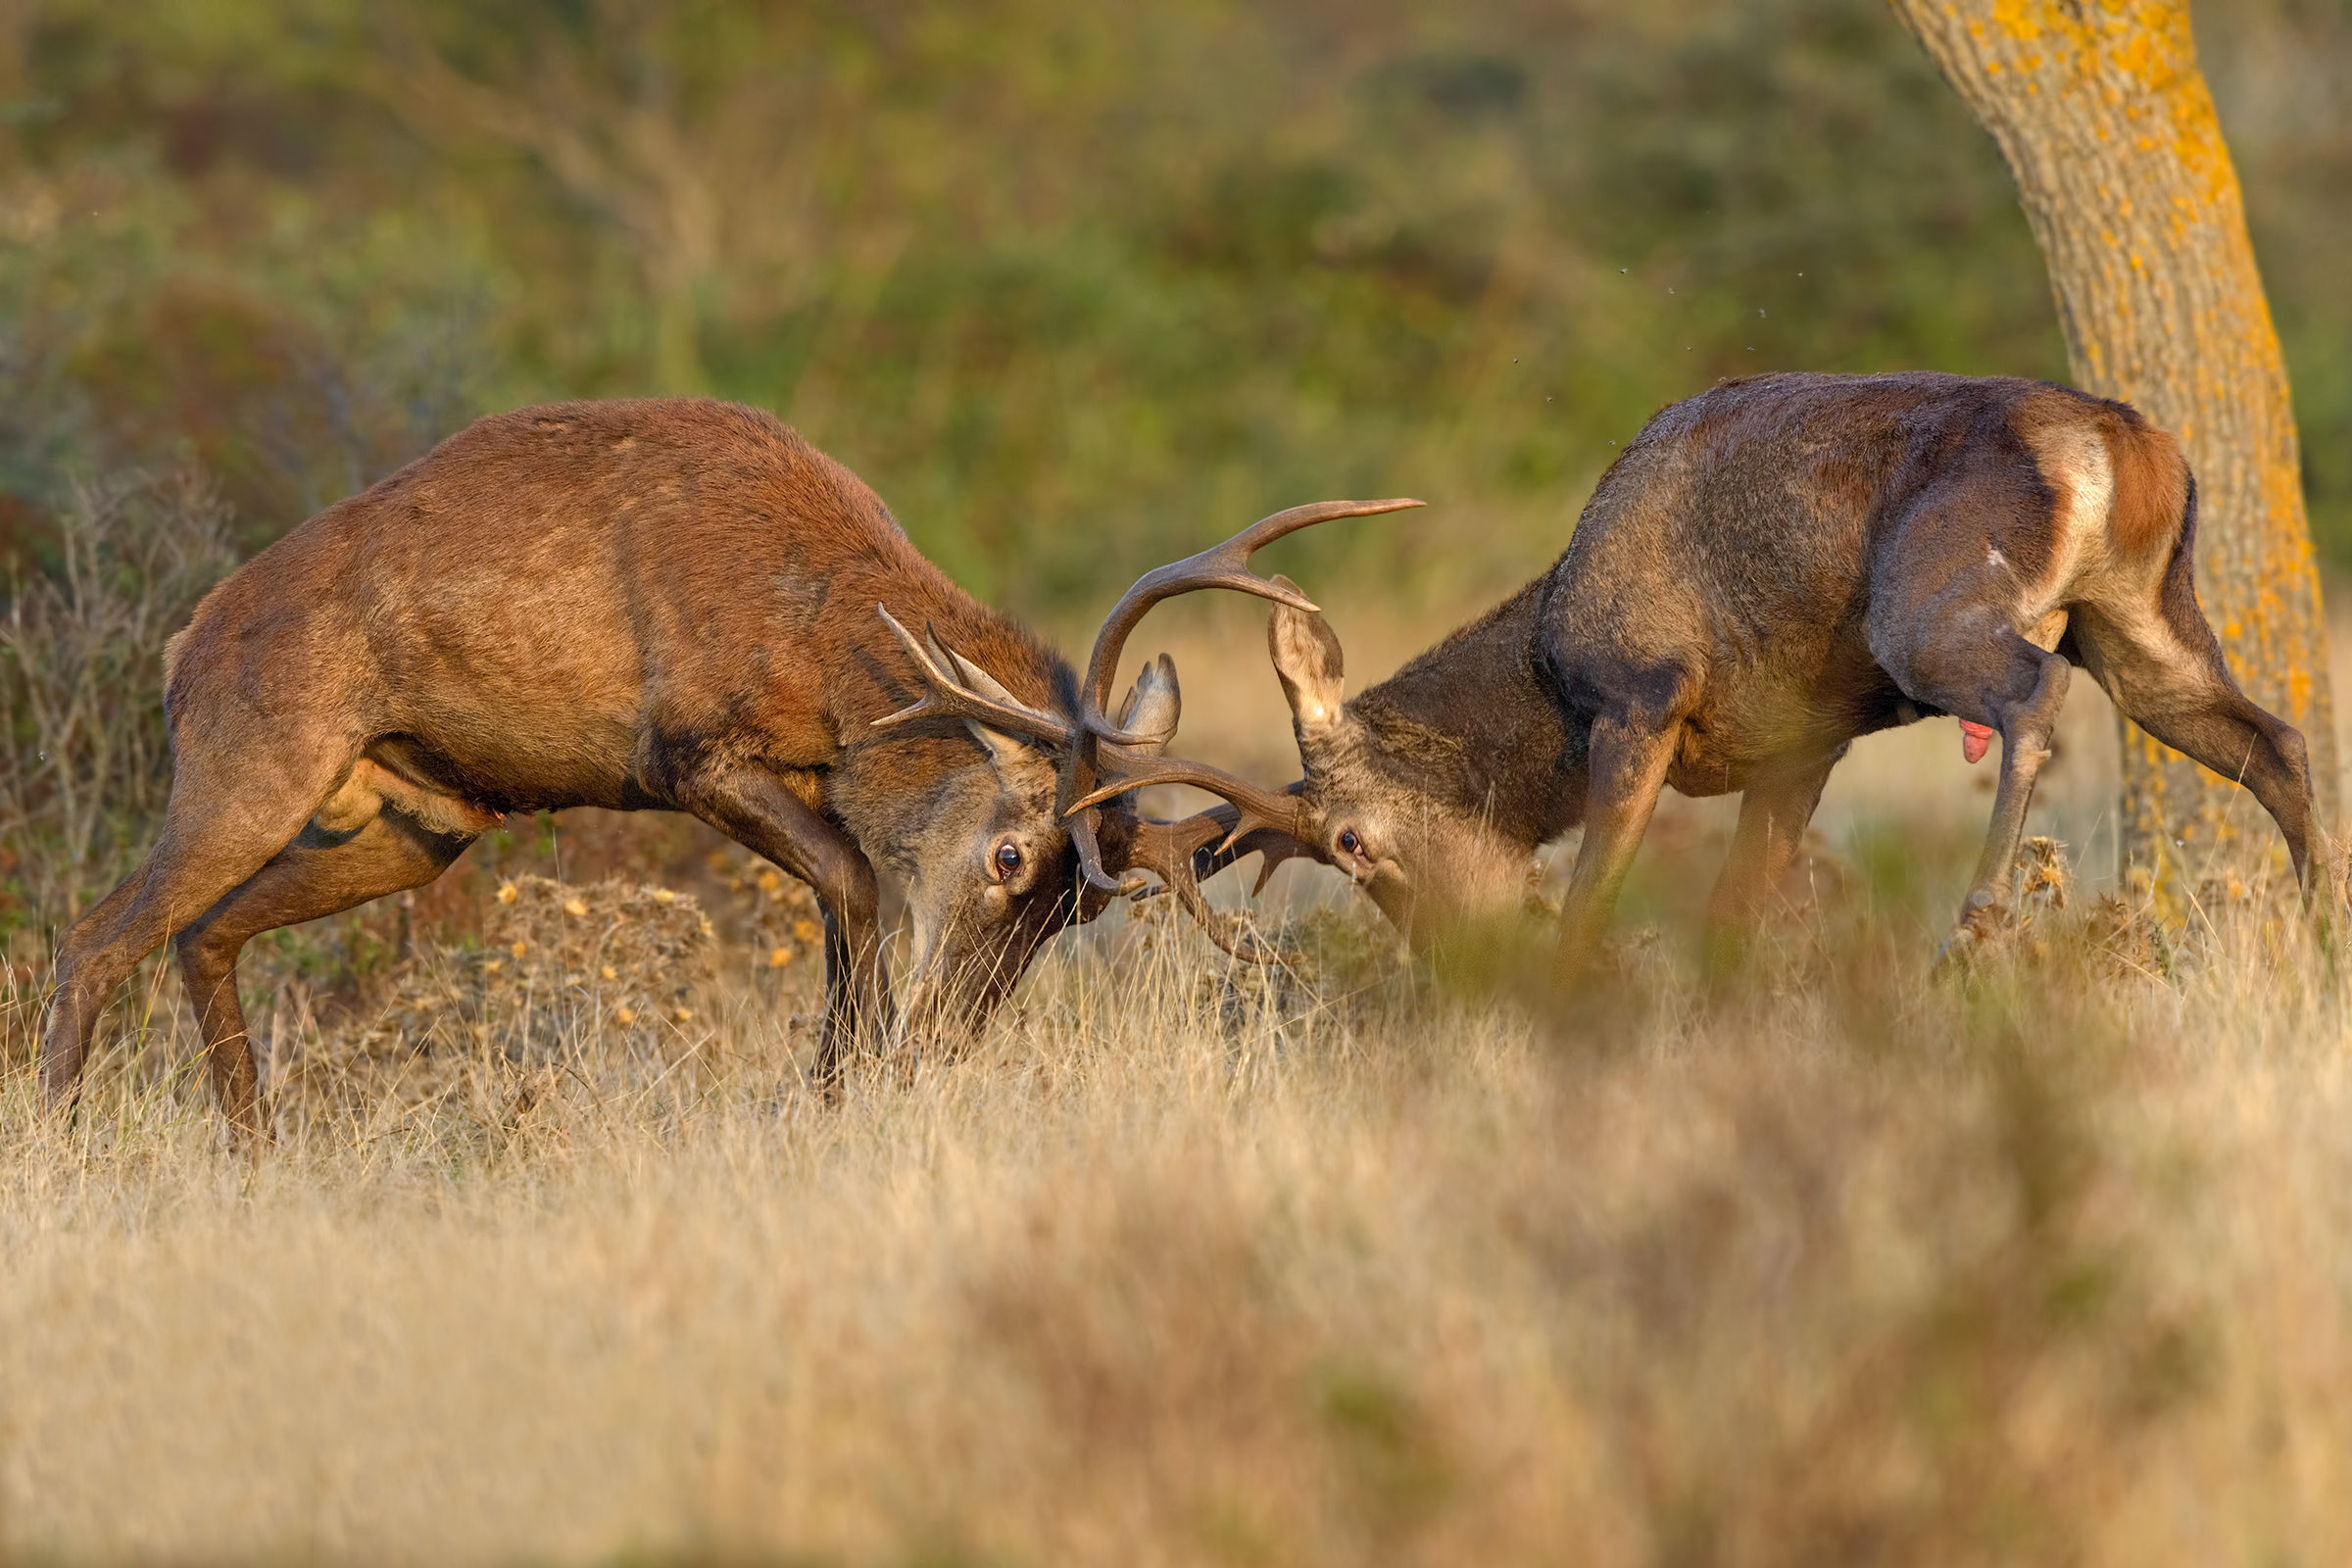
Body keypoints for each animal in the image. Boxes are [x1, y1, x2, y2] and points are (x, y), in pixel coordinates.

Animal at [39, 394, 1419, 1141]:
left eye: (1075, 911)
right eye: (1009, 852)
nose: (946, 1042)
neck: (829, 658)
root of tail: (181, 642)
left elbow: (847, 914)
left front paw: (844, 1088)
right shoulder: (689, 751)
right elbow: (858, 892)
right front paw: (839, 1091)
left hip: (417, 820)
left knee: (202, 933)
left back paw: (257, 1151)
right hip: (250, 762)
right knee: (94, 932)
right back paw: (59, 1145)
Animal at [1070, 372, 2325, 971]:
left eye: (1349, 841)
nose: (1454, 957)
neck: (1548, 667)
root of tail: (2121, 448)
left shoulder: (1642, 699)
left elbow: (1590, 909)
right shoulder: (1800, 745)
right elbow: (1731, 921)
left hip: (1930, 608)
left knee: (2031, 692)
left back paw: (1973, 927)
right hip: (2143, 620)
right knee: (2274, 736)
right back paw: (2327, 930)